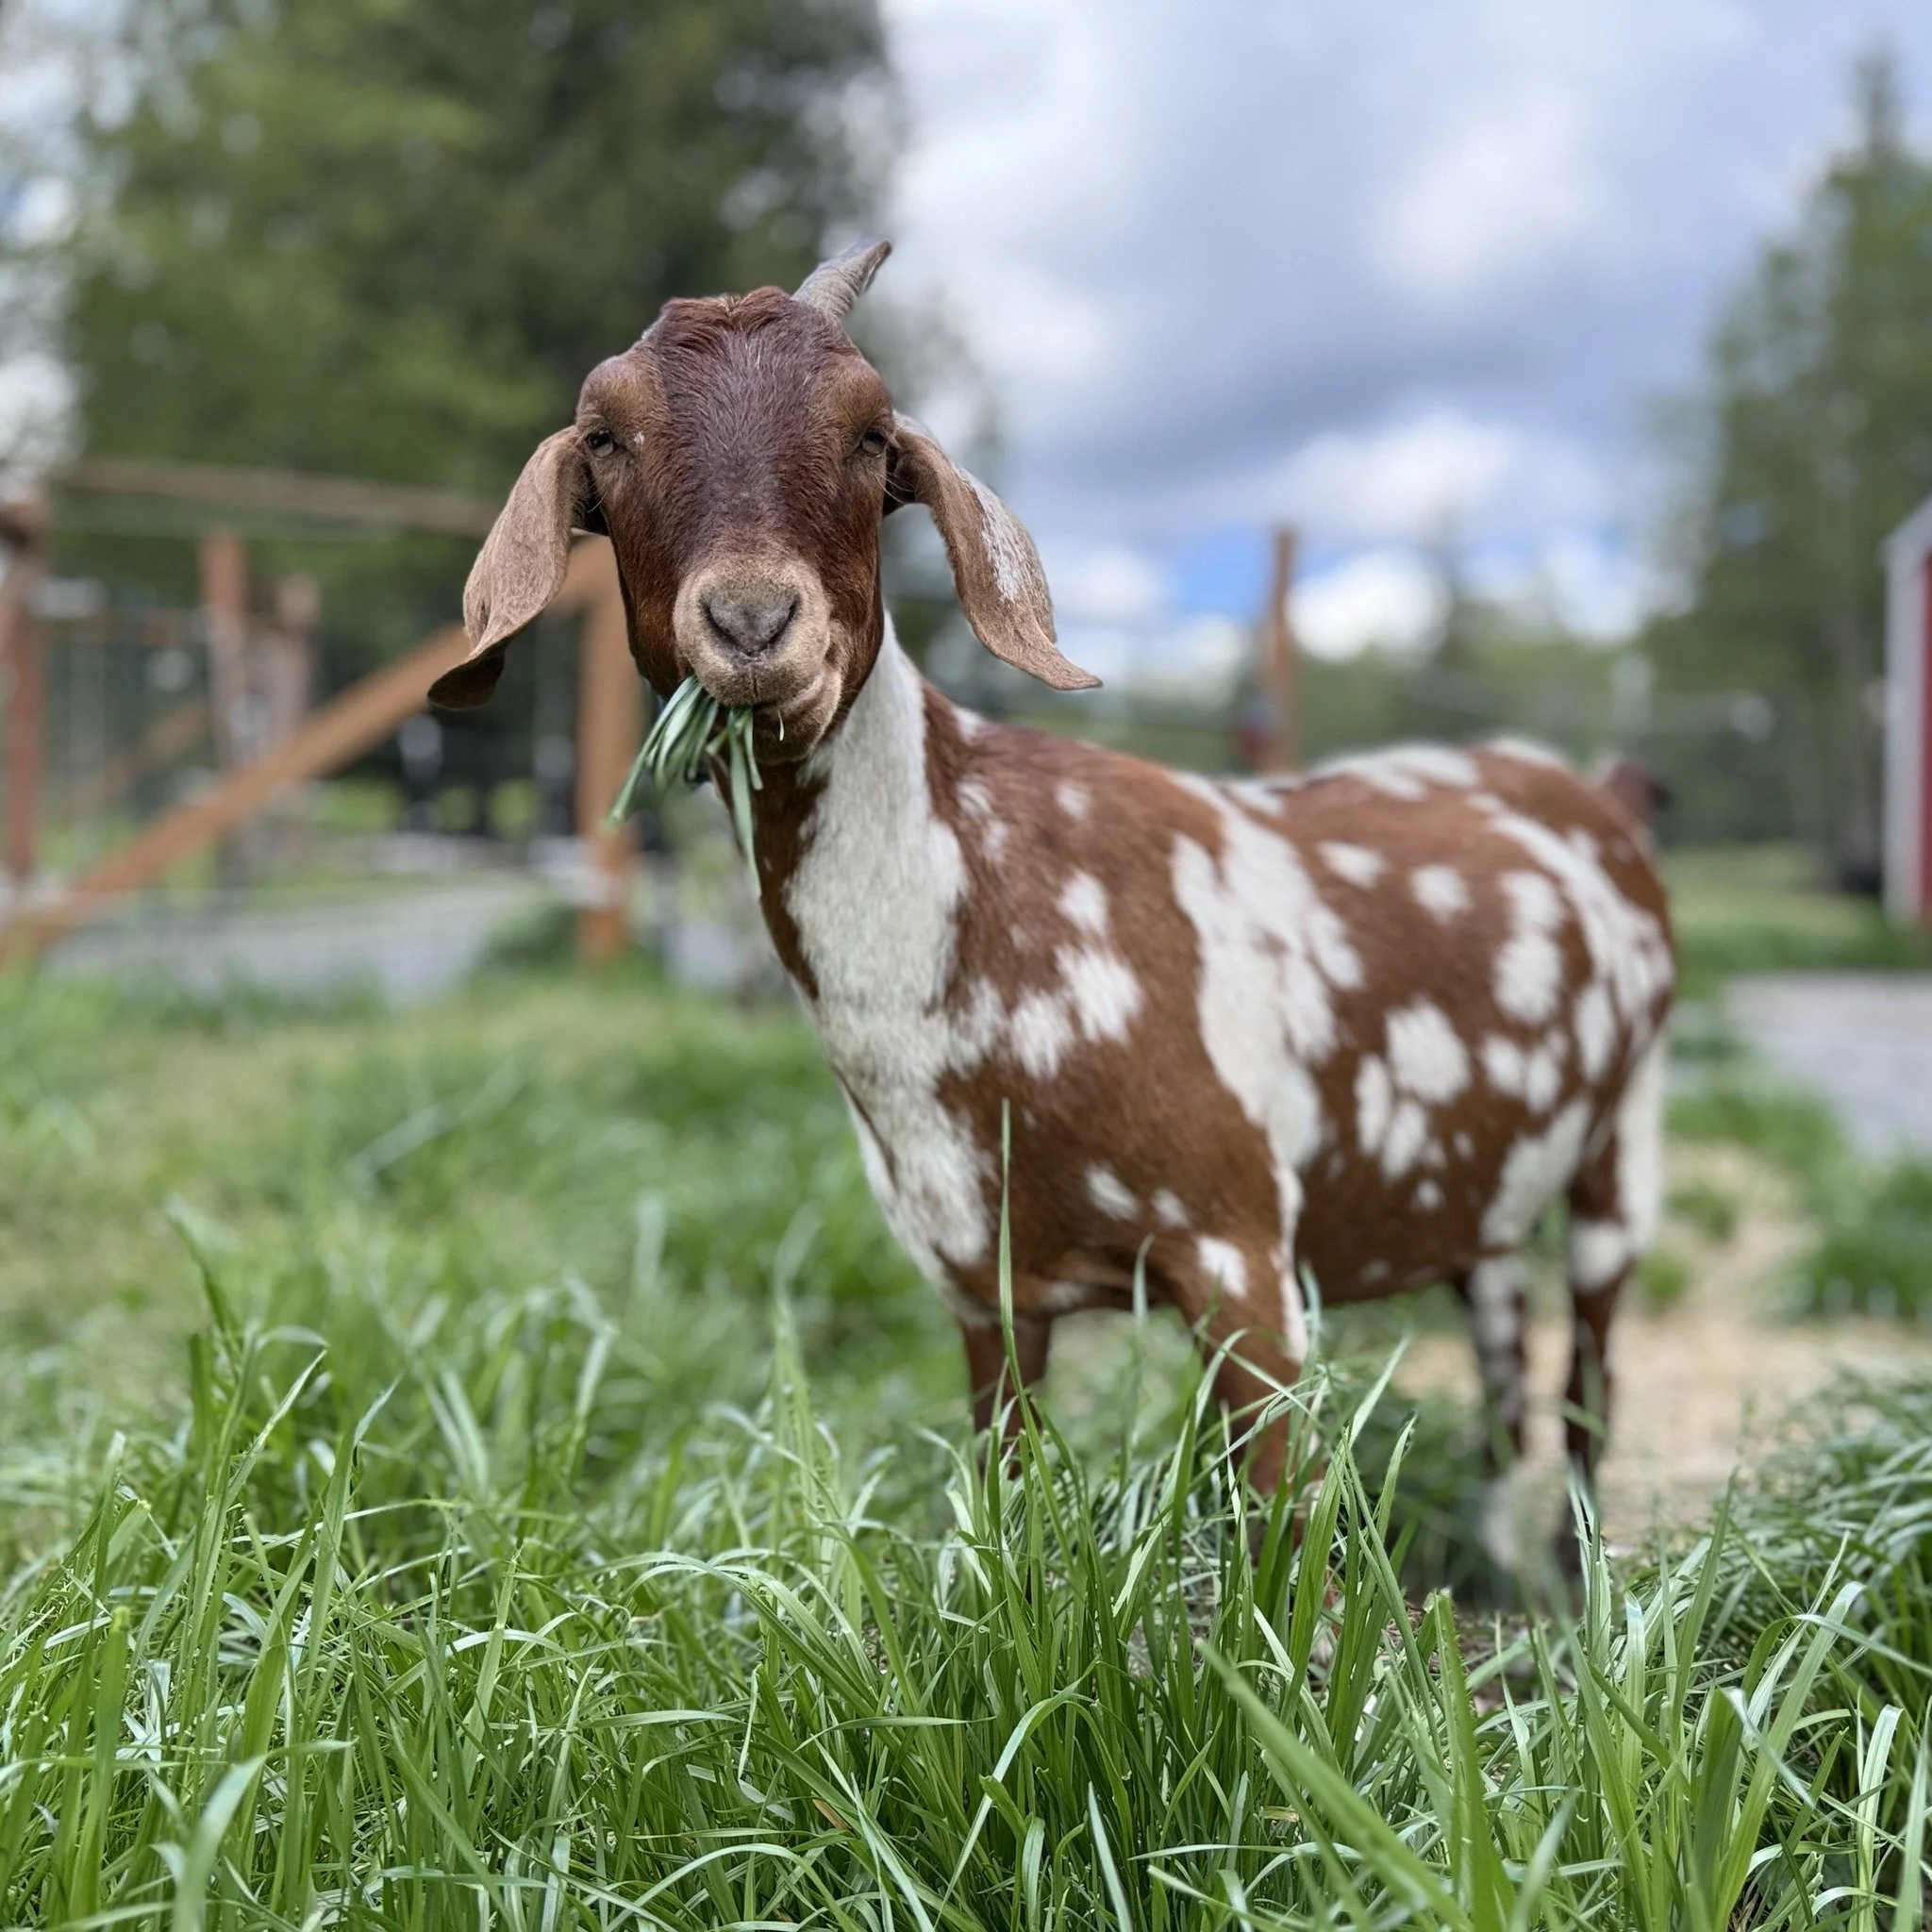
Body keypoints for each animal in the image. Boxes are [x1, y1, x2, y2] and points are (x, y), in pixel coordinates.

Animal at [432, 241, 1676, 1496]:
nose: (750, 621)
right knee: (1501, 1348)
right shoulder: (983, 1282)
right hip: (1488, 1189)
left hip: (1621, 1141)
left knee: (1589, 1387)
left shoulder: (1241, 1252)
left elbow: (1278, 1522)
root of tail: (1599, 794)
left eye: (872, 430)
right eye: (606, 437)